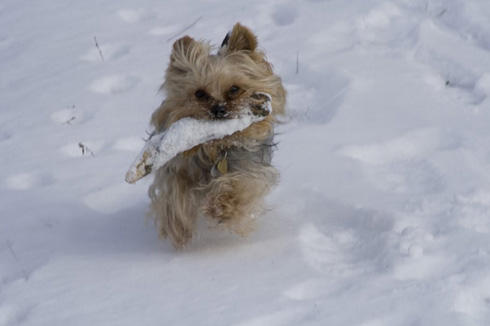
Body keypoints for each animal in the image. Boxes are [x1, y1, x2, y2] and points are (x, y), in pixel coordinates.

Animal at [149, 22, 288, 247]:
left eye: (234, 89)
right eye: (199, 93)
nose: (219, 109)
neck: (216, 148)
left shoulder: (251, 169)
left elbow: (242, 185)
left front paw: (222, 207)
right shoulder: (176, 167)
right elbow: (175, 191)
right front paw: (178, 227)